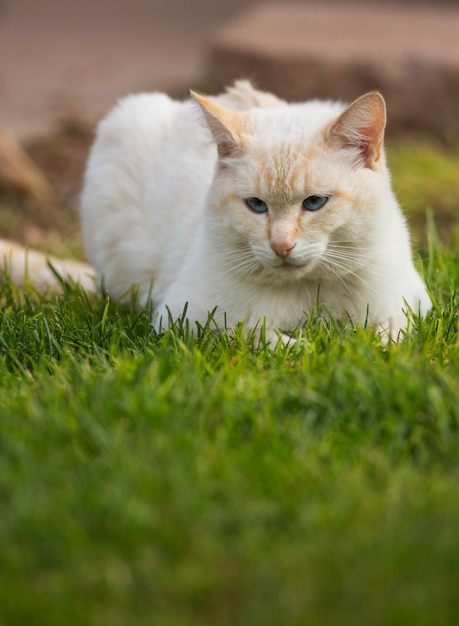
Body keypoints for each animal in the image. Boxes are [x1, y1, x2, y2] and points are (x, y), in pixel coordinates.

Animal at [2, 81, 432, 342]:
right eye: (256, 206)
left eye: (314, 203)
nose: (281, 246)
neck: (309, 291)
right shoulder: (186, 319)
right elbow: (274, 341)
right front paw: (309, 346)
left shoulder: (410, 310)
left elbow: (382, 342)